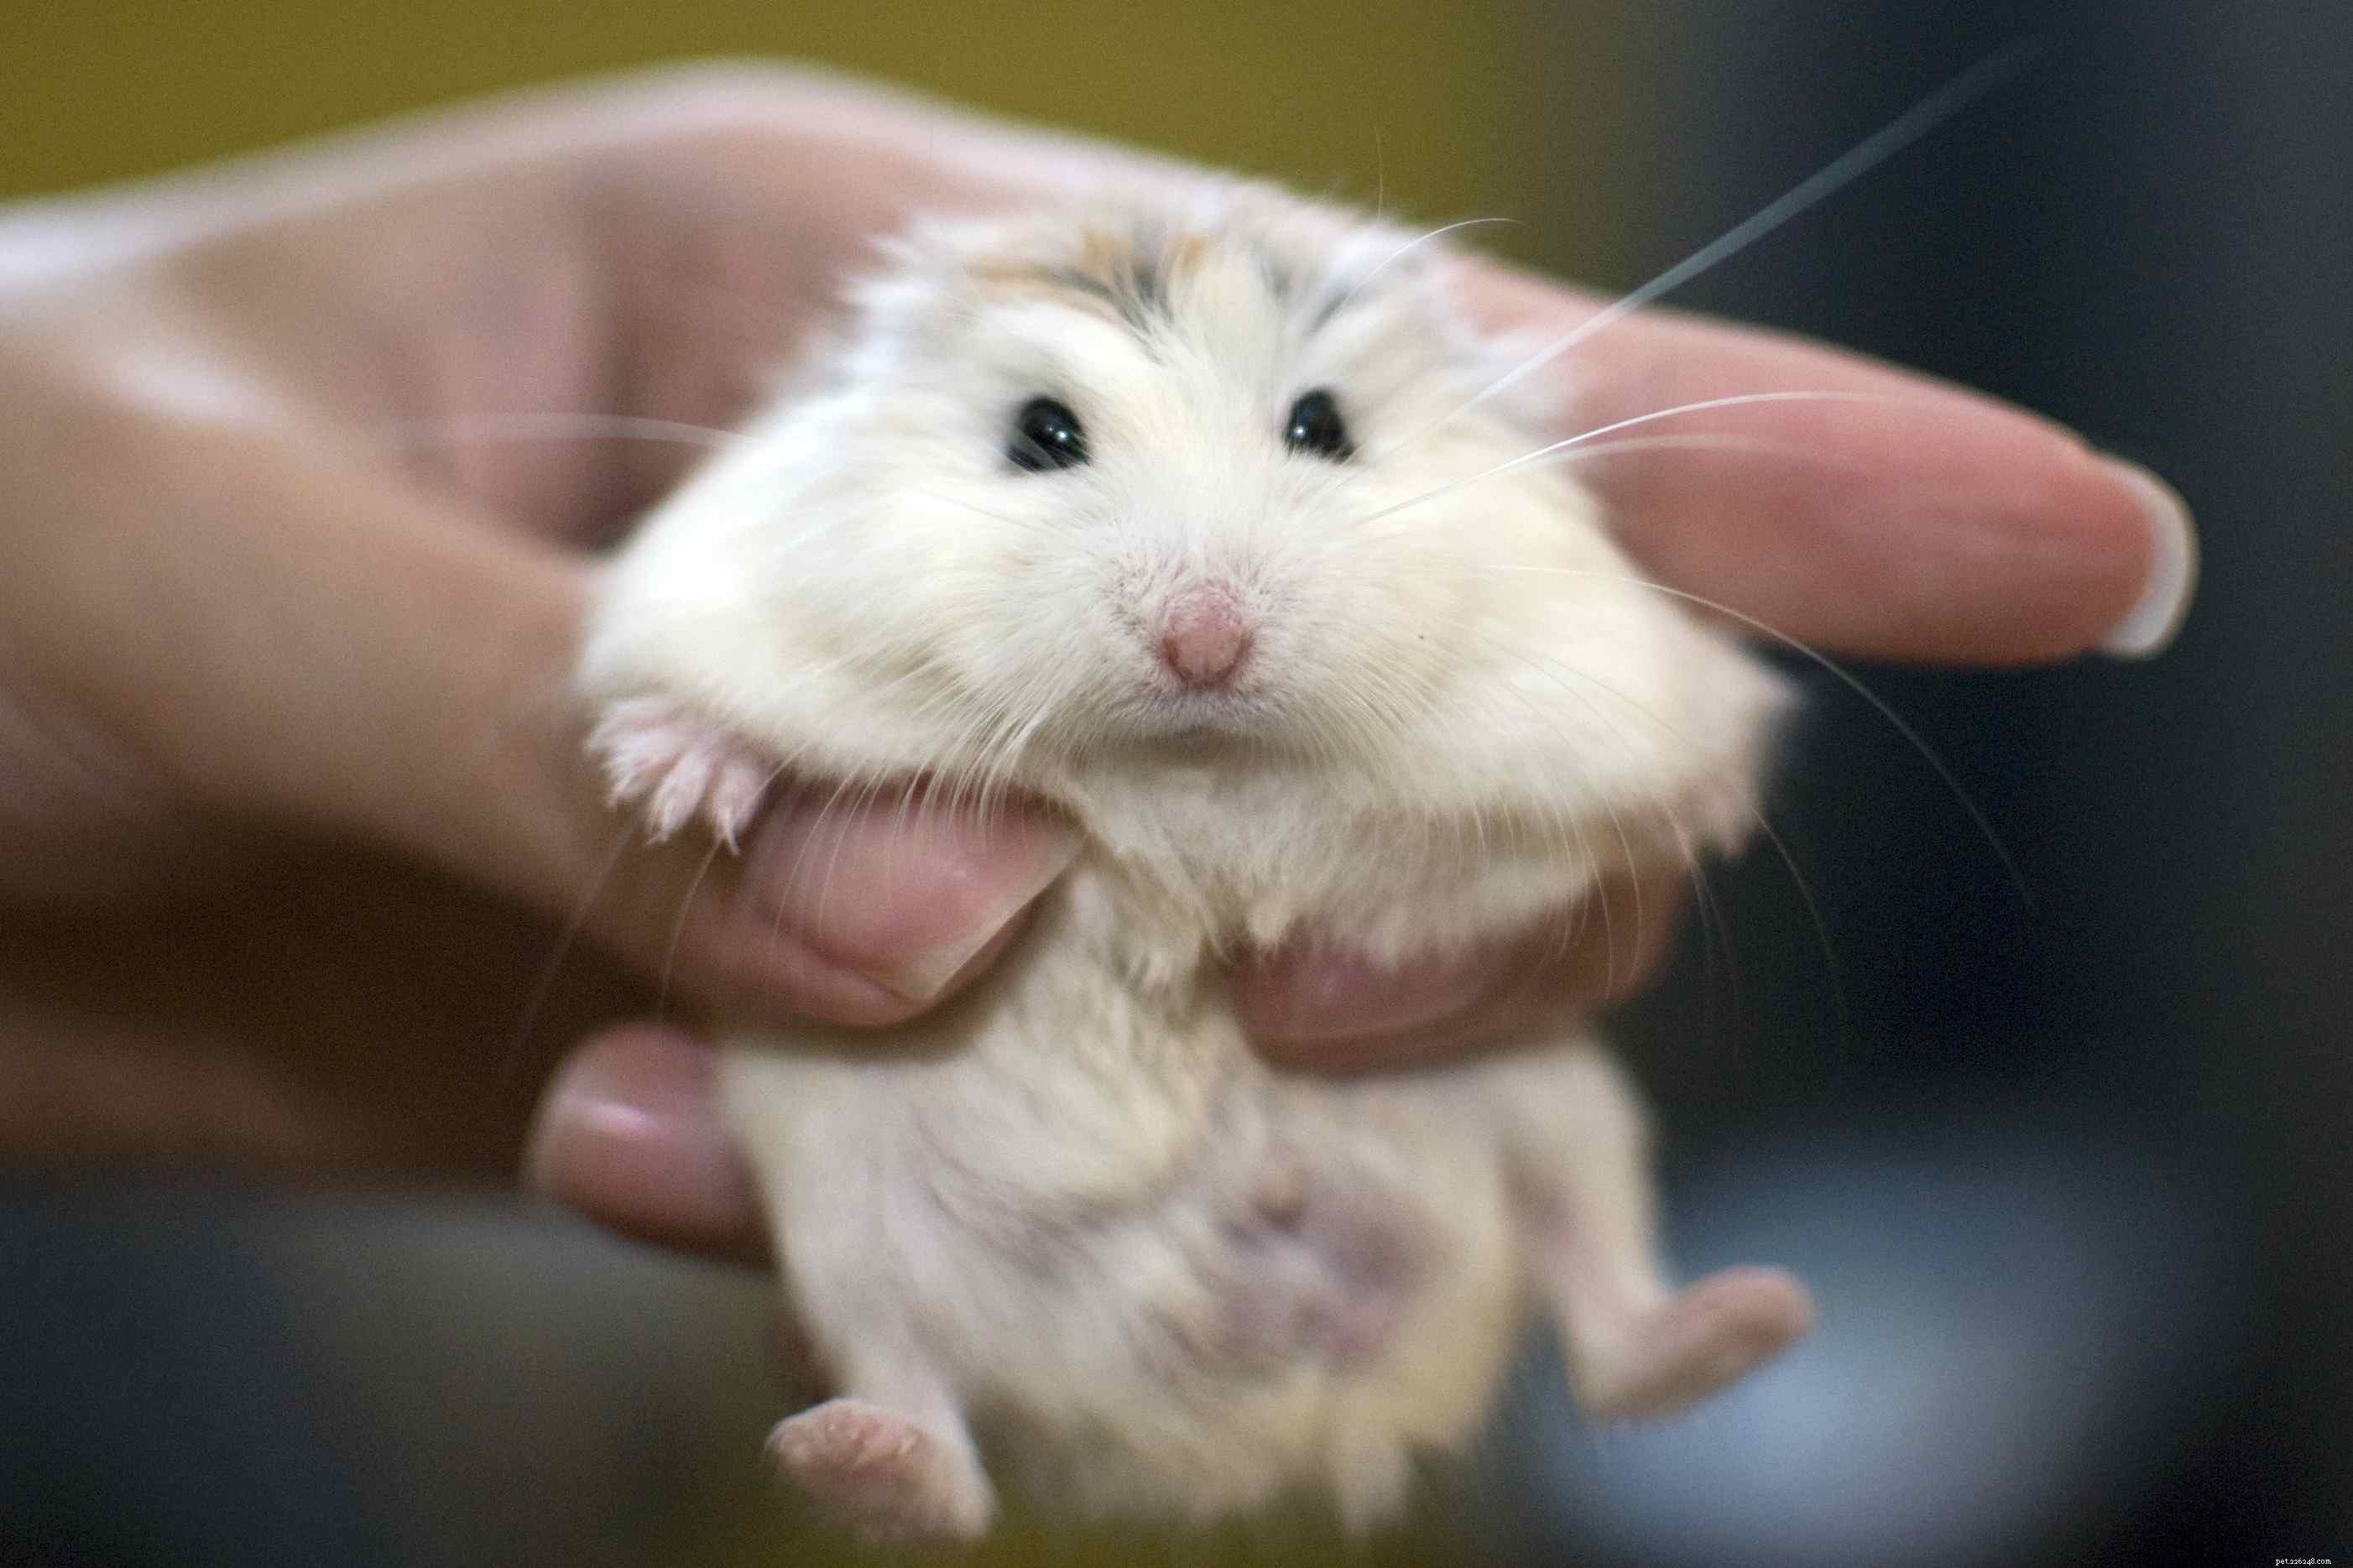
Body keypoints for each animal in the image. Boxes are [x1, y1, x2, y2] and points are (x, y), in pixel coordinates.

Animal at [577, 178, 1814, 1541]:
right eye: (1043, 433)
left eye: (1322, 424)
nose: (1204, 640)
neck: (1198, 775)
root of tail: (1233, 1432)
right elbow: (714, 706)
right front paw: (664, 783)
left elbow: (1646, 774)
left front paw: (1714, 809)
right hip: (840, 1202)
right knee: (923, 1425)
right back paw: (845, 1450)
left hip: (1554, 1101)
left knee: (1602, 1299)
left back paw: (1755, 1313)